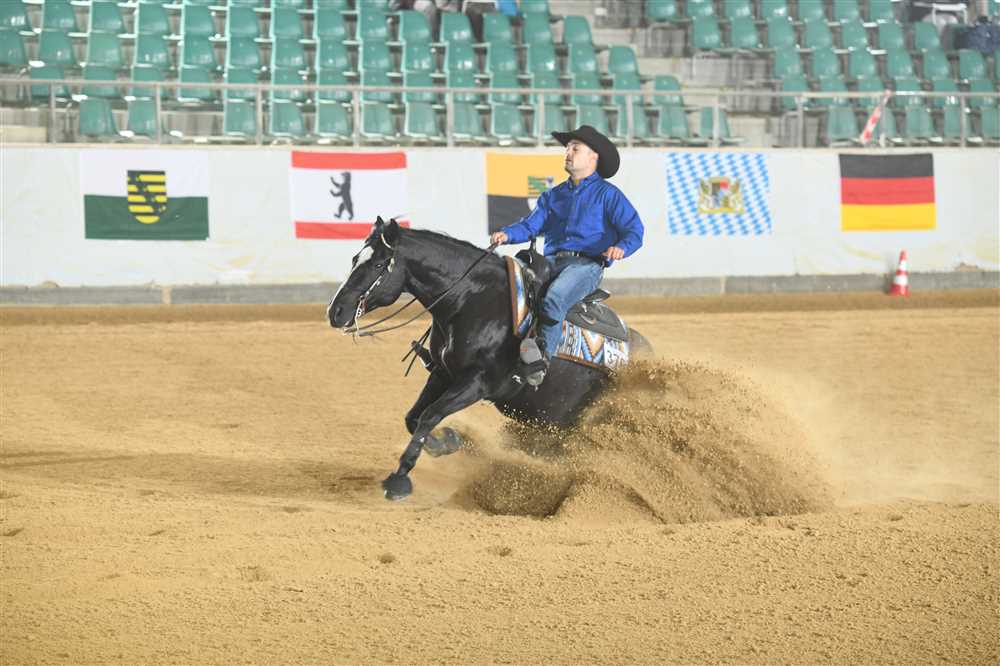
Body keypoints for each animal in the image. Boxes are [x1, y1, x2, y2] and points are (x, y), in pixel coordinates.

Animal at [328, 217, 652, 501]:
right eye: (355, 258)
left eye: (378, 264)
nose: (336, 311)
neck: (473, 300)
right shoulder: (442, 374)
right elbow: (414, 418)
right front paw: (447, 442)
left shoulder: (477, 382)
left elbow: (430, 415)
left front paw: (399, 480)